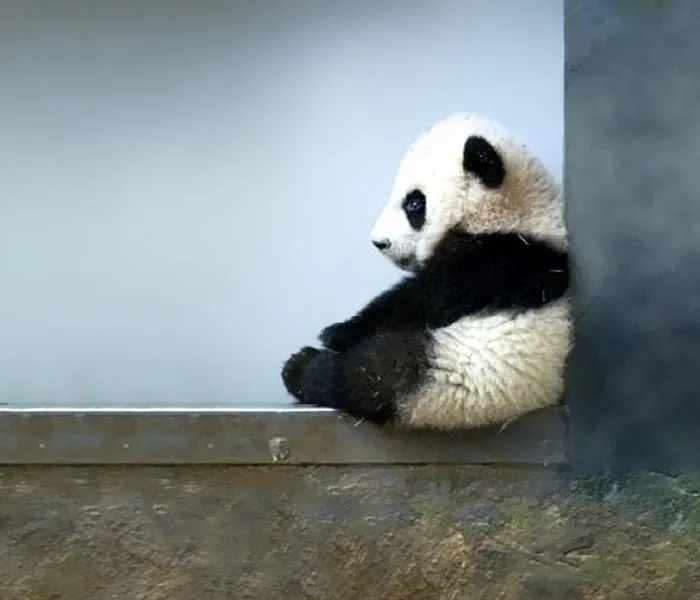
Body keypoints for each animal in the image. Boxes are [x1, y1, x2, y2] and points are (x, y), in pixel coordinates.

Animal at [281, 112, 571, 431]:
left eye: (414, 203)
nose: (379, 242)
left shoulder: (503, 261)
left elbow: (423, 298)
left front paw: (338, 332)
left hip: (452, 368)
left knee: (375, 372)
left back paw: (302, 368)